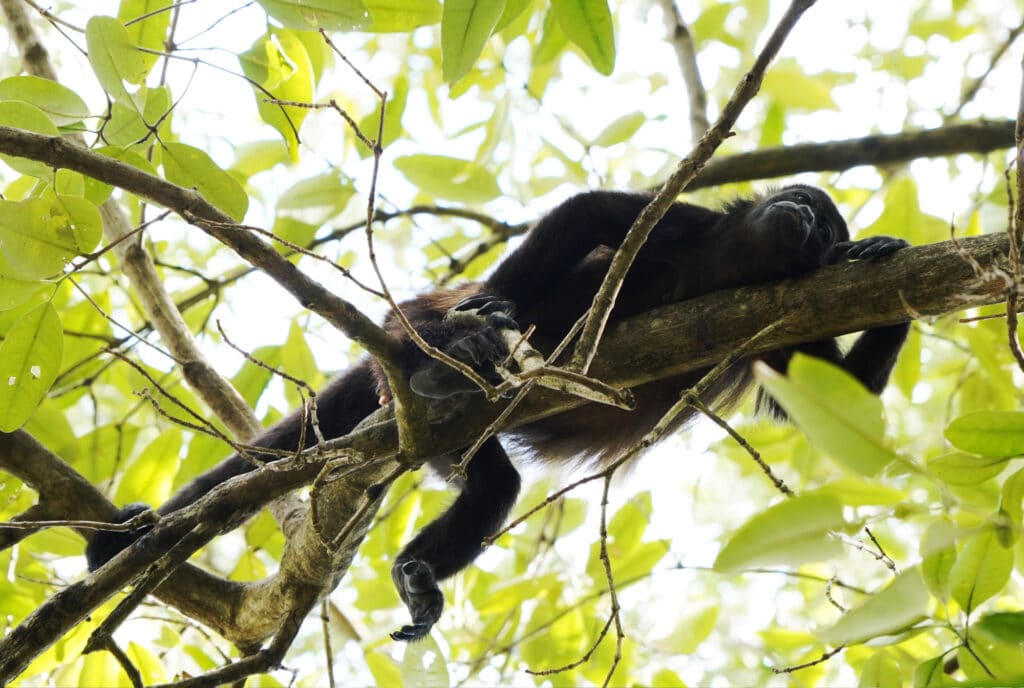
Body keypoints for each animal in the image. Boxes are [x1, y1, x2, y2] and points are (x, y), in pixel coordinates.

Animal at [85, 184, 910, 642]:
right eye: (811, 207)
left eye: (825, 228)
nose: (808, 216)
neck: (733, 264)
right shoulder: (683, 220)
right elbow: (589, 216)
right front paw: (492, 310)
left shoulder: (784, 330)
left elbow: (843, 402)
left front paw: (883, 270)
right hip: (408, 330)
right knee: (453, 332)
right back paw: (454, 347)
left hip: (448, 443)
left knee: (492, 488)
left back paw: (418, 571)